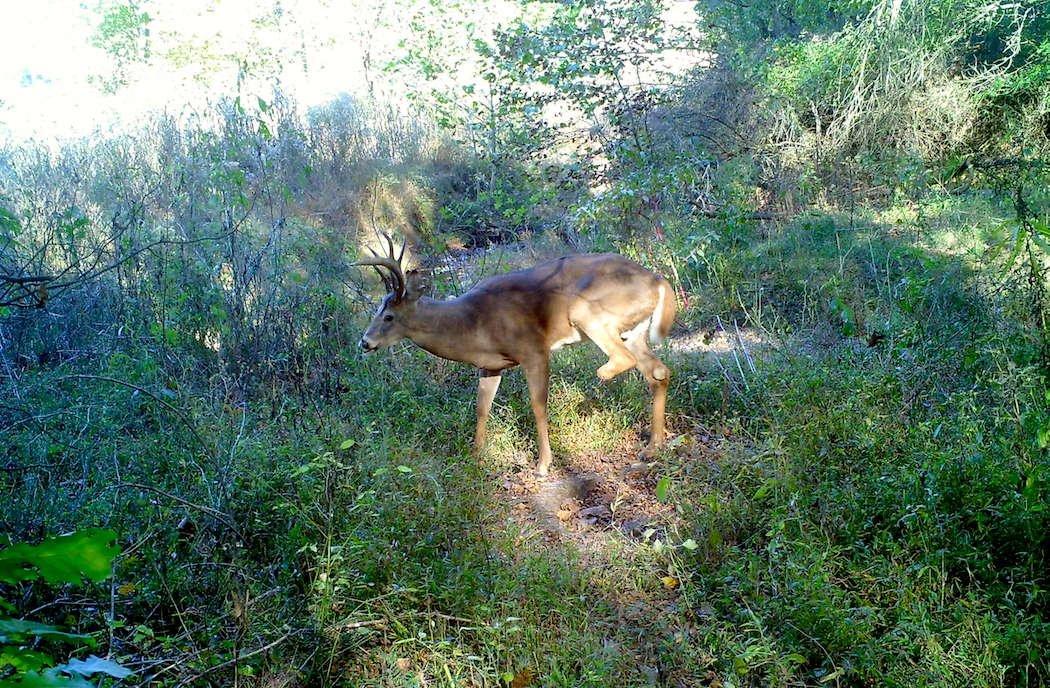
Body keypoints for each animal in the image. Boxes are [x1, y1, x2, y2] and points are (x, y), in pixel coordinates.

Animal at [356, 234, 676, 476]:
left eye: (388, 316)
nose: (364, 342)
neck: (471, 323)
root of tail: (658, 280)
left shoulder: (533, 349)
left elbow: (538, 405)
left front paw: (543, 464)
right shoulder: (490, 365)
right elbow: (482, 407)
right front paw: (476, 454)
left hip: (588, 312)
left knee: (625, 361)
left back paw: (602, 381)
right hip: (634, 330)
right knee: (658, 372)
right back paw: (653, 446)